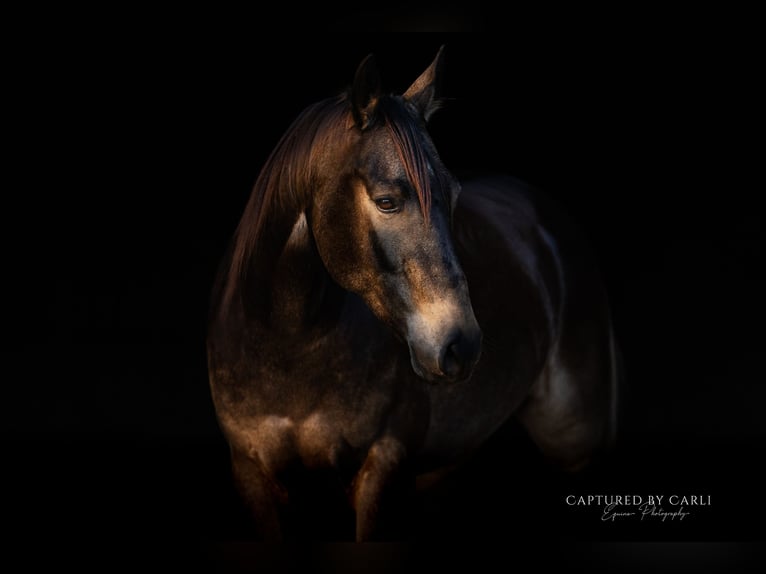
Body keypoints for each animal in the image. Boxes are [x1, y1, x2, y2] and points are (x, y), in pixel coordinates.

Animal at [206, 46, 620, 541]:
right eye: (387, 201)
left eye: (454, 194)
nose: (462, 344)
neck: (288, 349)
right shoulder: (252, 475)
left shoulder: (381, 469)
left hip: (576, 445)